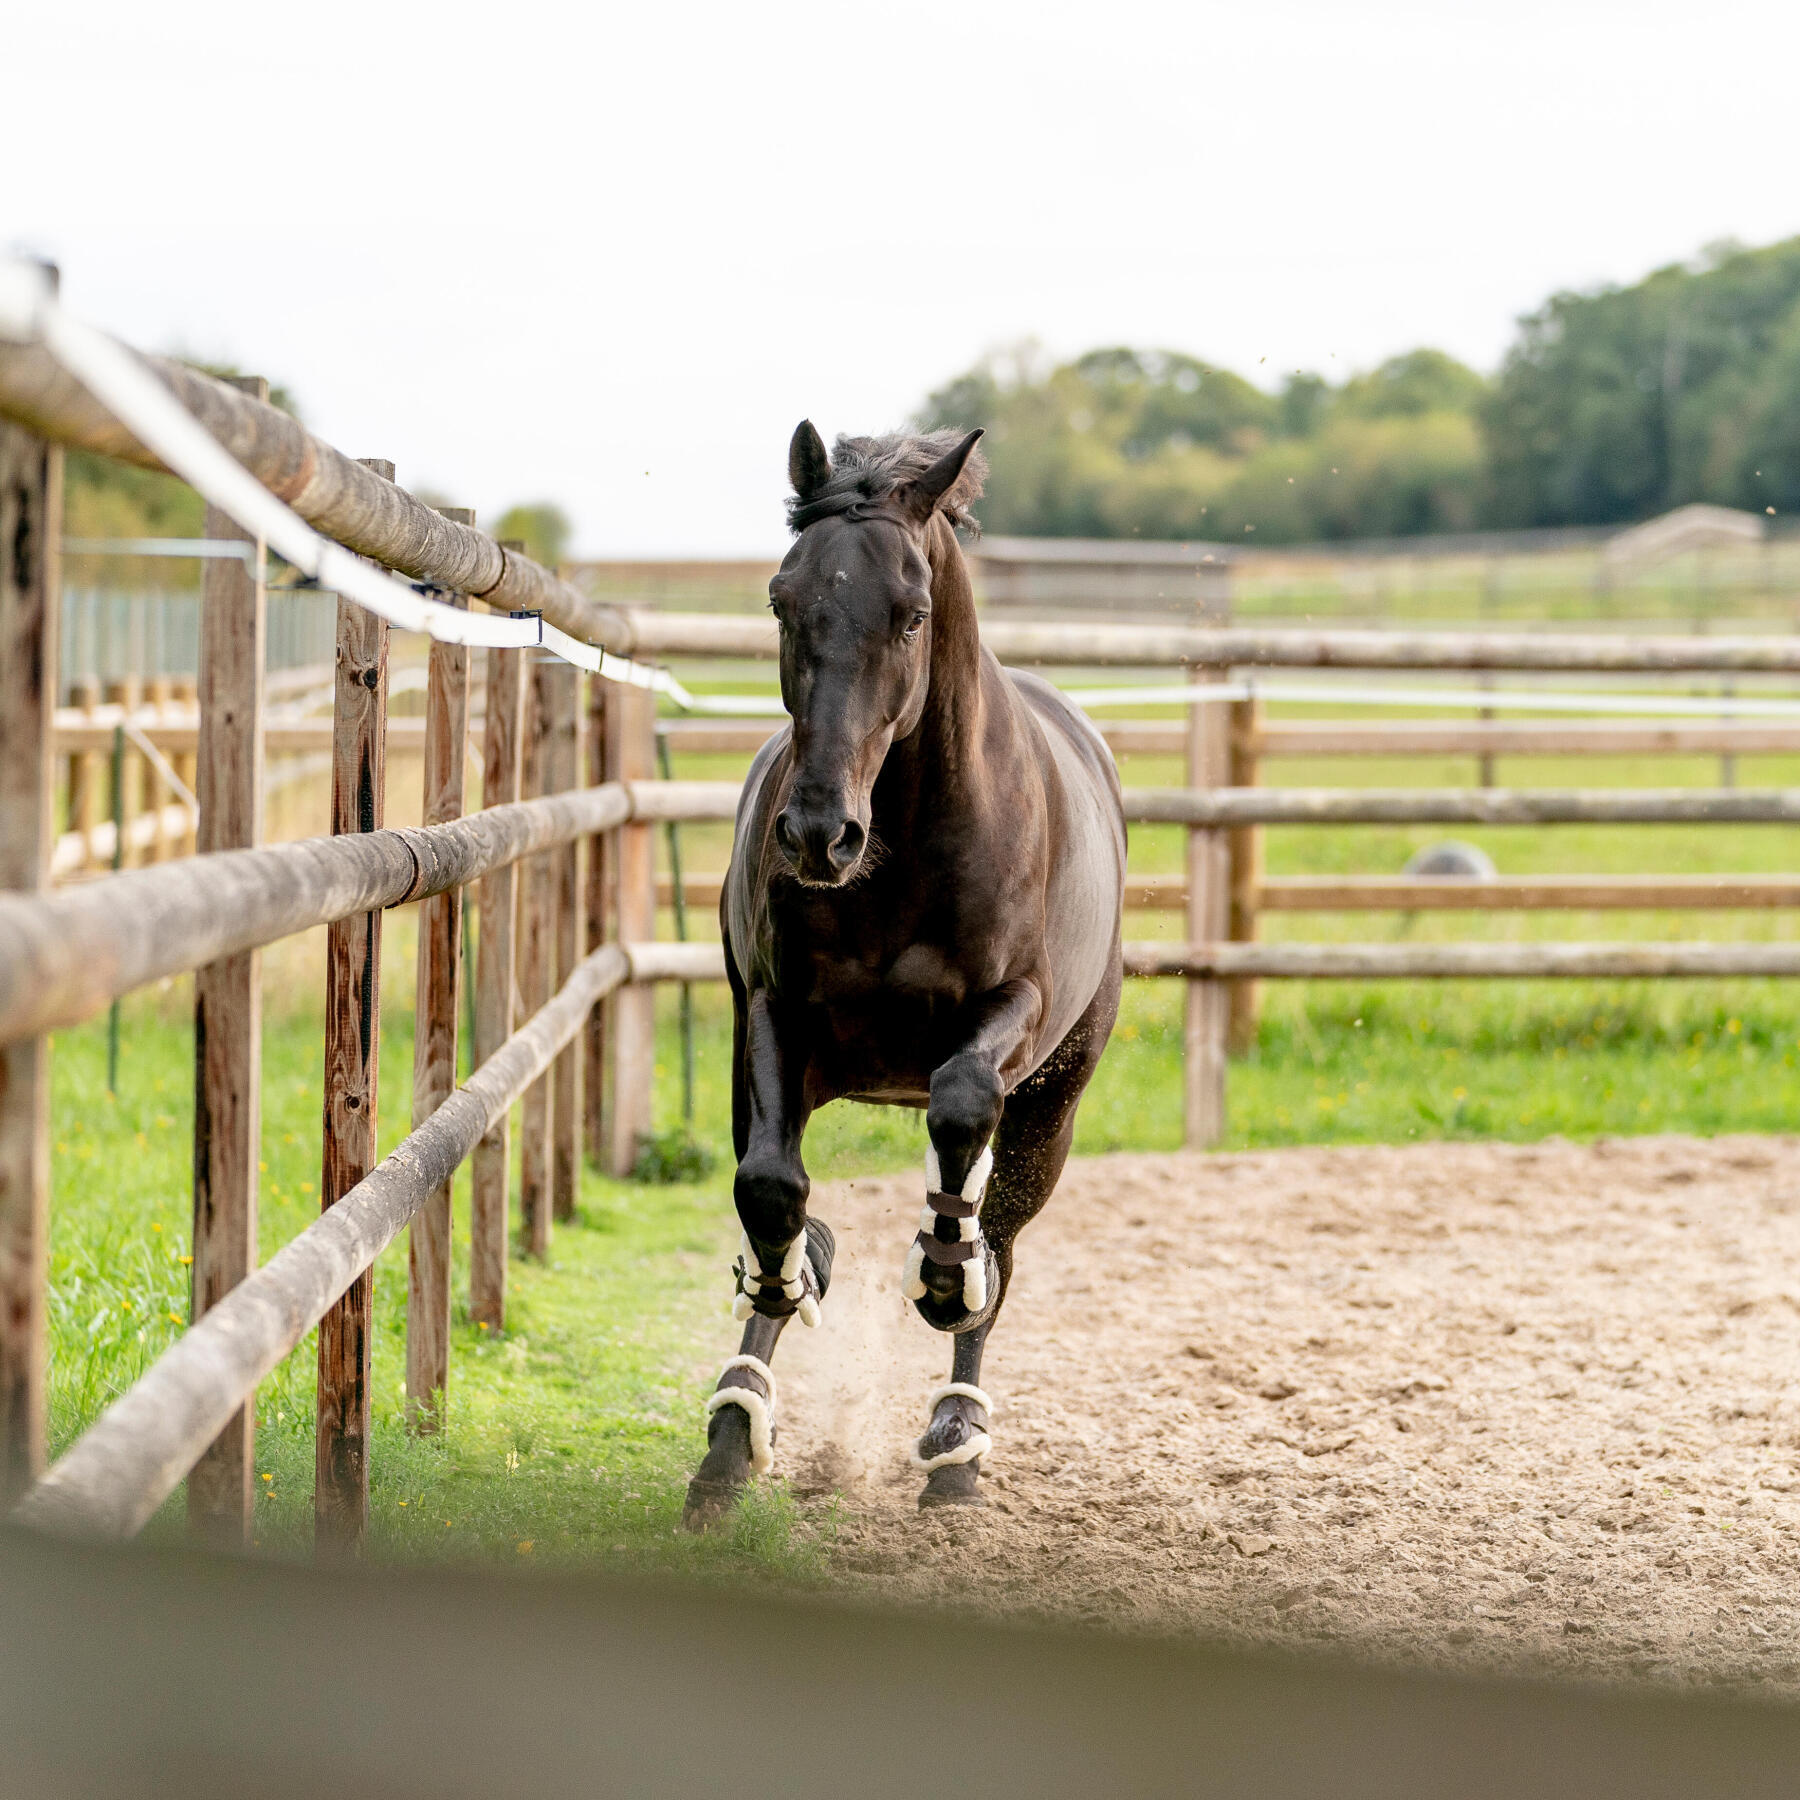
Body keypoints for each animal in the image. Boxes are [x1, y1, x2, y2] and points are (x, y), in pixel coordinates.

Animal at [680, 417, 1116, 1519]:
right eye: (782, 600)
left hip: (1056, 1101)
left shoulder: (1012, 1011)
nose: (816, 833)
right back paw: (735, 1429)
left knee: (1004, 1237)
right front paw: (784, 1297)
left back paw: (957, 1441)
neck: (907, 844)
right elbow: (772, 1189)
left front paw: (941, 1274)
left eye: (913, 614)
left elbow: (960, 1109)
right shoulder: (775, 1017)